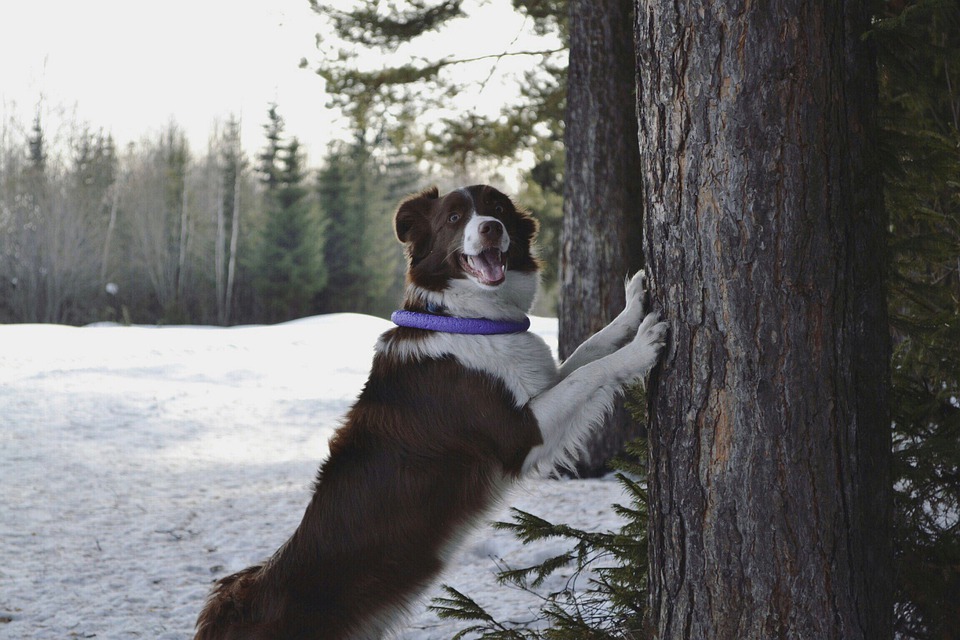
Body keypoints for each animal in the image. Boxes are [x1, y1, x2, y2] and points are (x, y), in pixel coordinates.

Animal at [195, 185, 668, 640]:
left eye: (498, 206)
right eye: (455, 218)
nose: (491, 228)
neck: (465, 319)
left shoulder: (537, 387)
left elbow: (589, 350)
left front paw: (630, 310)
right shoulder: (518, 434)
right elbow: (589, 372)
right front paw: (641, 347)